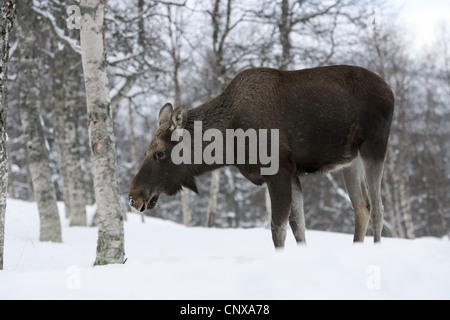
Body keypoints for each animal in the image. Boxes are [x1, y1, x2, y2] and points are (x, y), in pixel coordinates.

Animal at [127, 65, 394, 248]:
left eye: (160, 152)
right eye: (146, 151)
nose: (134, 197)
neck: (229, 144)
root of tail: (391, 93)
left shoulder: (279, 171)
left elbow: (278, 230)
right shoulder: (292, 174)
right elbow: (298, 228)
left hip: (374, 147)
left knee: (378, 208)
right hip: (349, 160)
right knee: (362, 207)